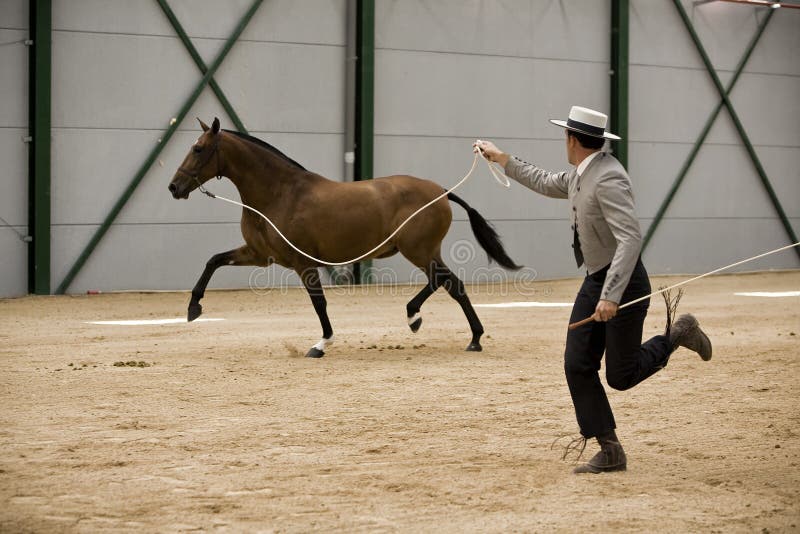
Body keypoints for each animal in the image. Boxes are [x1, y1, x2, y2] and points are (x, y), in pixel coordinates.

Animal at [168, 117, 520, 358]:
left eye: (198, 149)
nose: (174, 187)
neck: (279, 194)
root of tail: (442, 192)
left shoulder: (302, 262)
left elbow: (319, 302)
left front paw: (321, 343)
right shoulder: (259, 255)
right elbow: (213, 261)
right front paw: (193, 307)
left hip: (419, 251)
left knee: (446, 283)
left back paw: (430, 322)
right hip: (424, 252)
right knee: (450, 284)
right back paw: (461, 334)